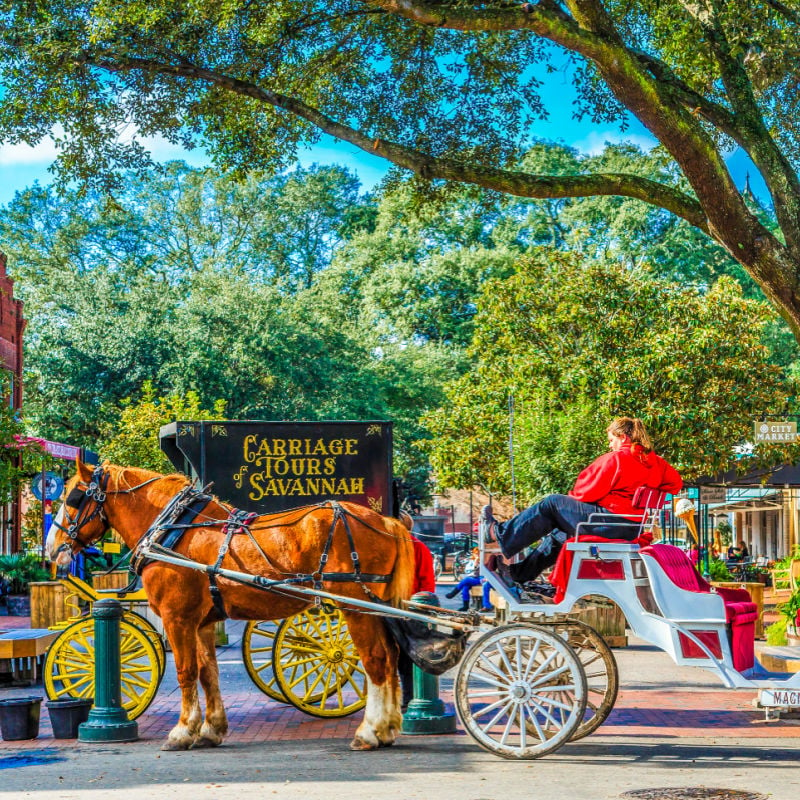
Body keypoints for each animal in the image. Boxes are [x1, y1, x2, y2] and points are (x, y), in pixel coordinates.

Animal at [47, 460, 416, 752]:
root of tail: (386, 522)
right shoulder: (202, 622)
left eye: (73, 497)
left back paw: (369, 732)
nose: (51, 549)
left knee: (375, 660)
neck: (174, 531)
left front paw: (182, 731)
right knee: (392, 658)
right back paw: (388, 727)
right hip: (376, 608)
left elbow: (185, 671)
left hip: (356, 607)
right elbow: (208, 672)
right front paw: (211, 729)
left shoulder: (177, 618)